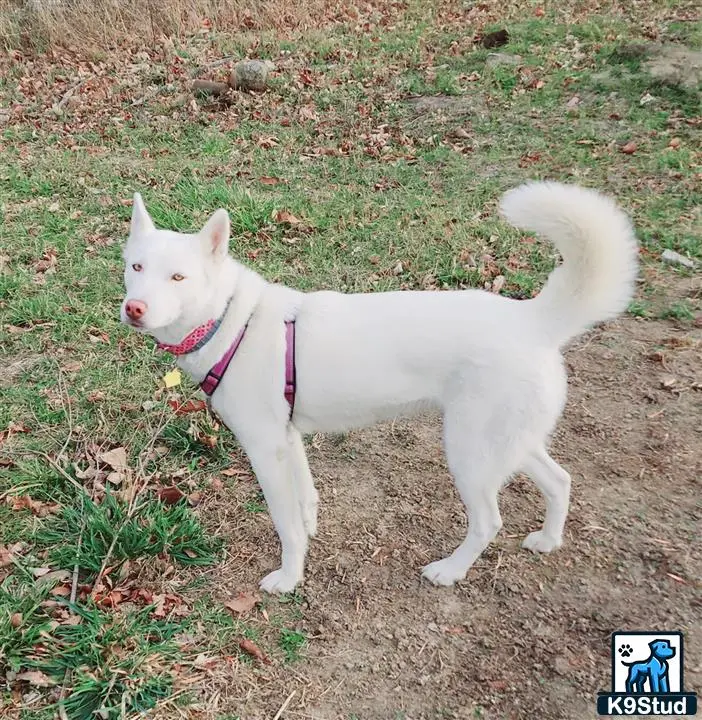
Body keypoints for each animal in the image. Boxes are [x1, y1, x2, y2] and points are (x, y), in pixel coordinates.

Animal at [119, 183, 640, 592]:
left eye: (179, 277)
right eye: (137, 268)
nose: (134, 308)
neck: (233, 319)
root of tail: (532, 318)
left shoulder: (266, 449)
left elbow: (286, 526)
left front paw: (289, 578)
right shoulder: (289, 438)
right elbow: (306, 501)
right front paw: (310, 532)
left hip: (469, 453)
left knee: (490, 521)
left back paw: (450, 570)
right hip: (508, 442)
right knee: (560, 480)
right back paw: (549, 540)